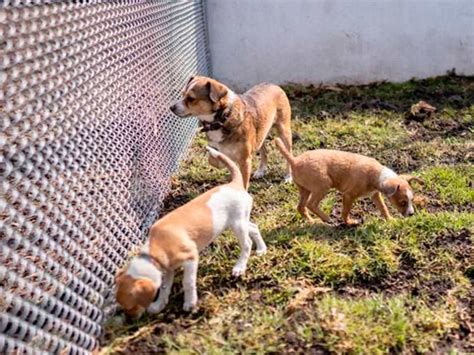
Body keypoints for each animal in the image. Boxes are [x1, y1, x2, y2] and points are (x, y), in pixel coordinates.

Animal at [115, 146, 266, 318]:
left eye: (130, 306)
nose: (130, 319)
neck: (153, 252)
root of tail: (234, 183)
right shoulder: (168, 268)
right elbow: (165, 288)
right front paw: (159, 305)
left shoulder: (190, 258)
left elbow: (187, 282)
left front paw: (190, 303)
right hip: (240, 221)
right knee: (254, 228)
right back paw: (262, 249)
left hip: (237, 224)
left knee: (246, 244)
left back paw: (239, 267)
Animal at [274, 139, 422, 225]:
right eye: (402, 202)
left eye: (411, 200)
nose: (411, 214)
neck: (377, 176)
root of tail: (295, 161)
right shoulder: (348, 196)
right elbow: (345, 211)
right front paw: (349, 222)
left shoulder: (375, 195)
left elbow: (383, 208)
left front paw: (390, 220)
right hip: (323, 185)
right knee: (311, 204)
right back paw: (326, 218)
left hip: (305, 189)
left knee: (301, 207)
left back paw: (312, 221)